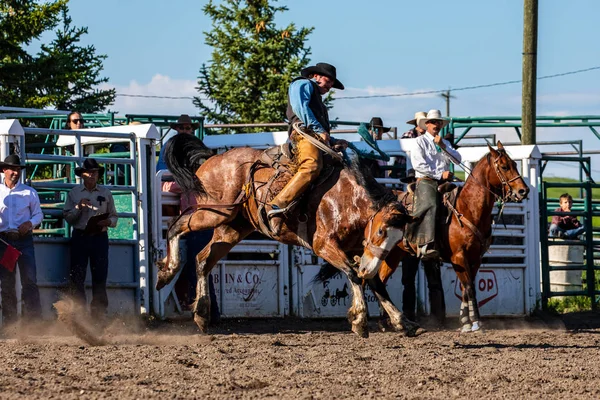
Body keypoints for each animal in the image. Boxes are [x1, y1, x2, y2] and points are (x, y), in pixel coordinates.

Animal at [360, 140, 524, 332]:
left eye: (515, 164)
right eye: (504, 167)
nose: (524, 190)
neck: (467, 209)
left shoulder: (476, 257)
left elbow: (466, 288)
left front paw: (465, 321)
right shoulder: (458, 257)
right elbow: (469, 287)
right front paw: (475, 322)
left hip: (392, 254)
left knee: (380, 279)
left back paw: (387, 321)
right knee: (365, 277)